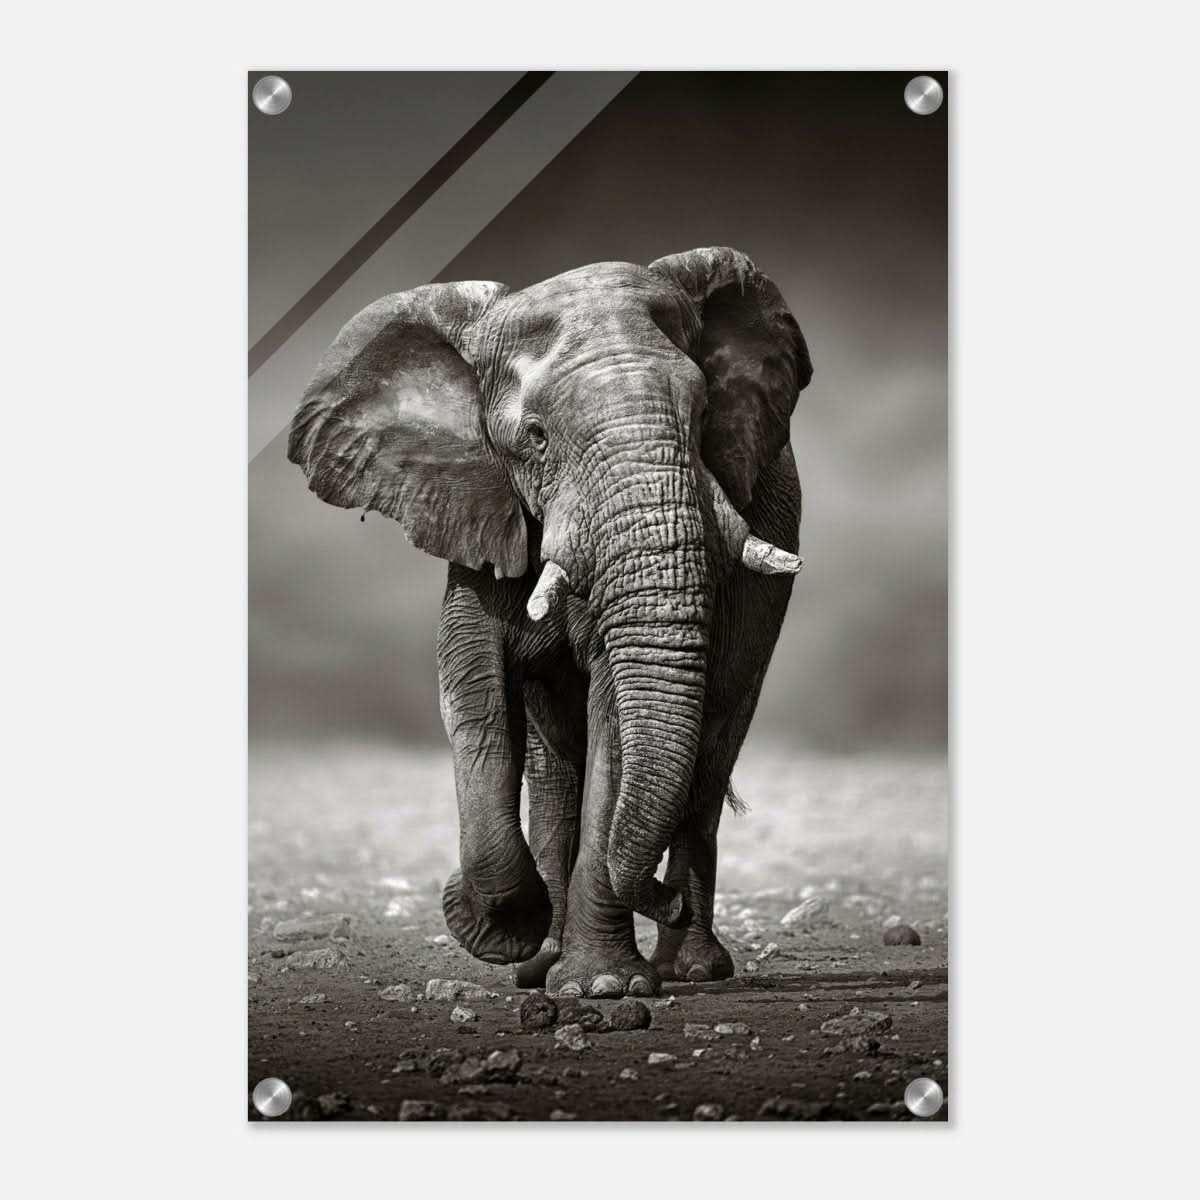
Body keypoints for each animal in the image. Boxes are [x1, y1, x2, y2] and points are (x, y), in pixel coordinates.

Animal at [288, 246, 812, 998]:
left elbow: (614, 716)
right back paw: (543, 964)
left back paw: (689, 968)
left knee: (710, 750)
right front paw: (501, 929)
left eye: (704, 412)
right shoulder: (478, 508)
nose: (661, 899)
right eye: (534, 439)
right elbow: (473, 694)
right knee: (554, 768)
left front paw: (603, 987)